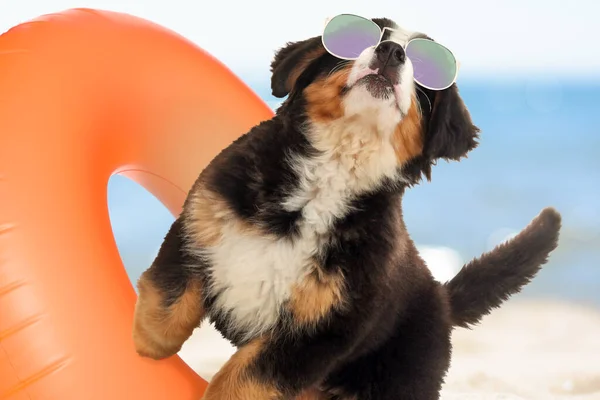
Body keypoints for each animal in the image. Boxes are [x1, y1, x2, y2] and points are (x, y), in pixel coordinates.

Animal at [131, 16, 564, 400]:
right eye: (363, 35)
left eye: (425, 68)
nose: (390, 52)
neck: (328, 175)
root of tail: (442, 298)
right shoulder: (199, 224)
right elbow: (165, 304)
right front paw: (142, 349)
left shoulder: (325, 327)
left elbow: (245, 378)